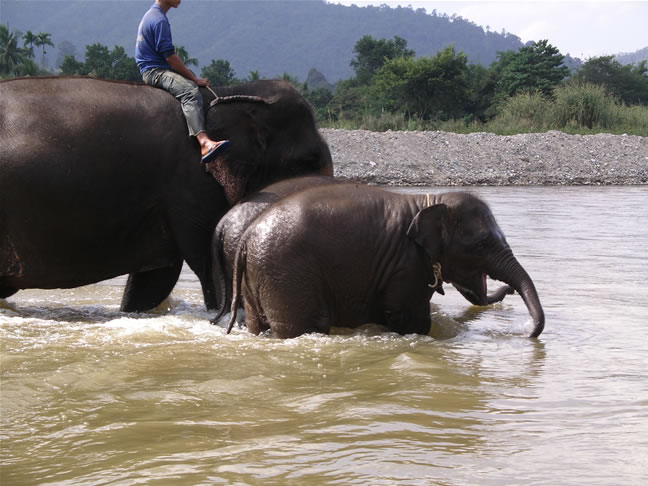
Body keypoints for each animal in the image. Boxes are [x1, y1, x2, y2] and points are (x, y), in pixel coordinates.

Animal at [226, 184, 544, 338]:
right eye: (481, 245)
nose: (525, 333)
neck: (431, 201)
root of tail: (247, 236)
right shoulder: (406, 266)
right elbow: (411, 319)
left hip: (259, 274)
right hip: (286, 273)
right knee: (305, 326)